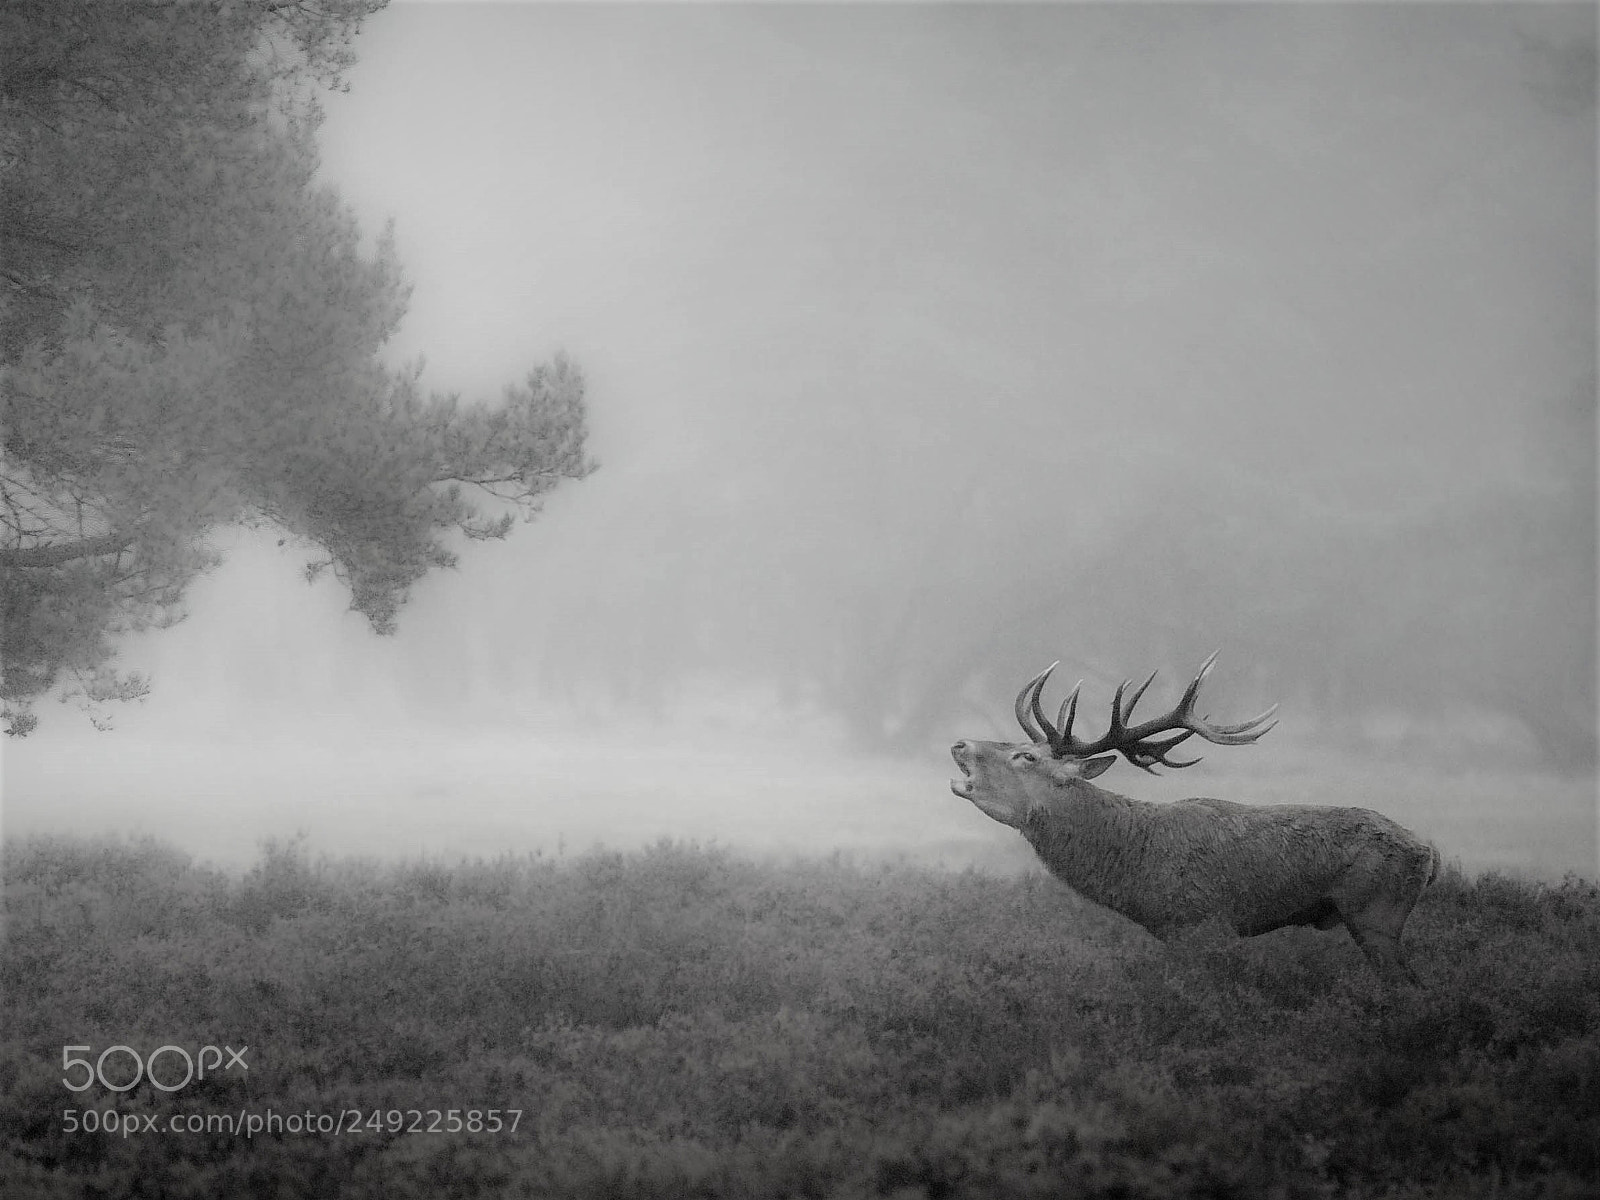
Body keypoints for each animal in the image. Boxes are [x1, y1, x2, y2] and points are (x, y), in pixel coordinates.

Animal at [950, 653, 1439, 985]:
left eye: (1026, 756)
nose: (959, 744)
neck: (1135, 868)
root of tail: (1430, 853)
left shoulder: (1200, 924)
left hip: (1376, 912)